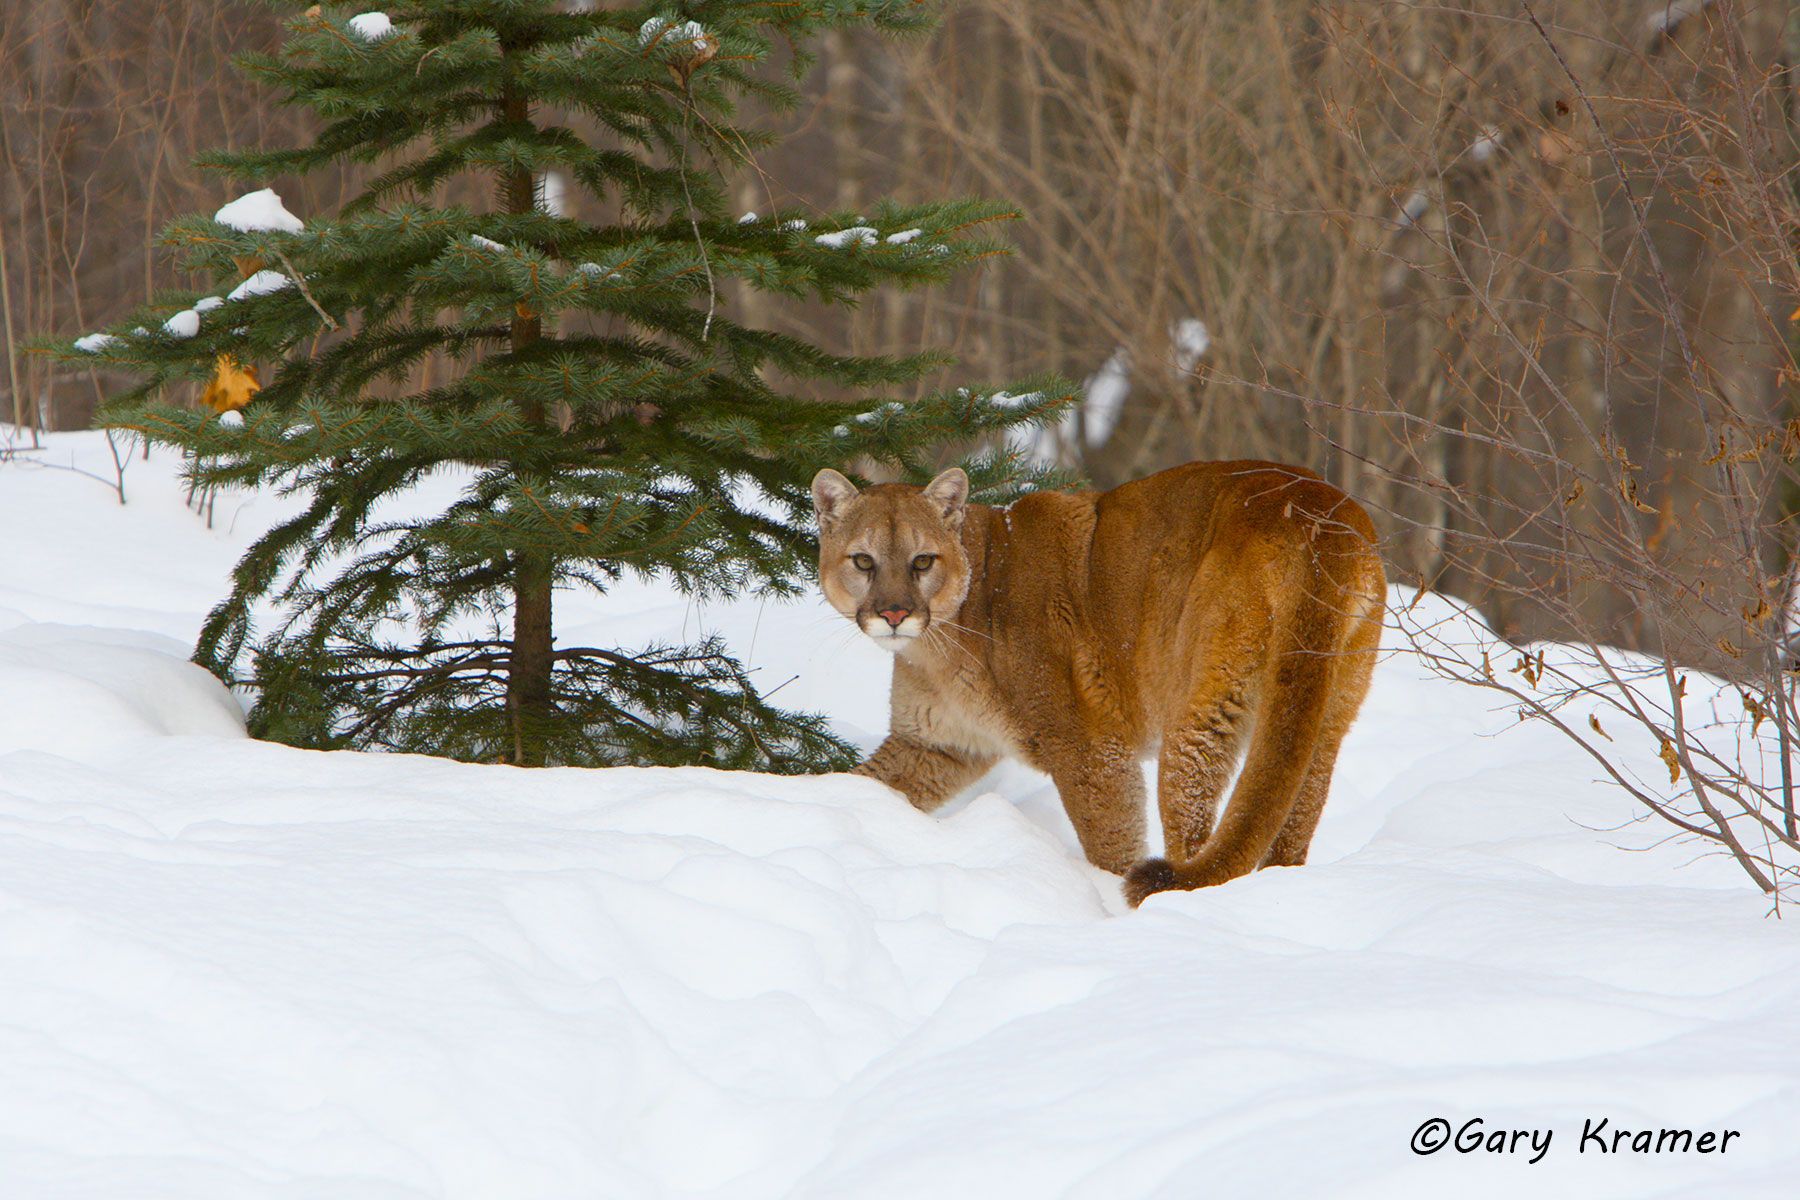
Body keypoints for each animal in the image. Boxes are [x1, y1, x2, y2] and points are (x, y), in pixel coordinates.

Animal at [810, 460, 1385, 906]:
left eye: (922, 560)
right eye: (863, 560)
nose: (894, 614)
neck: (941, 640)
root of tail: (1315, 513)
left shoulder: (1088, 745)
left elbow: (1111, 840)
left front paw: (1106, 892)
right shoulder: (934, 743)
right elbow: (865, 782)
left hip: (1201, 711)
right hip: (1324, 710)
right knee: (1292, 811)